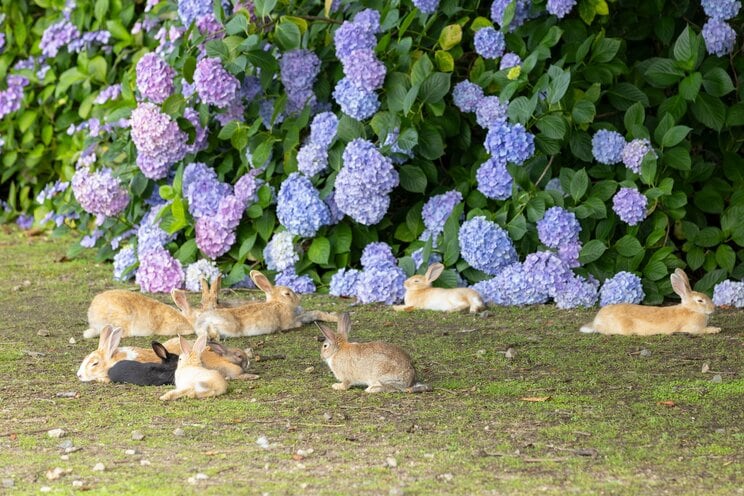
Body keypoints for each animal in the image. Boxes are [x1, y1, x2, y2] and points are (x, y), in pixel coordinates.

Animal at [196, 272, 338, 340]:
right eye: (287, 294)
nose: (299, 299)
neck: (278, 302)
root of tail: (203, 319)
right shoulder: (289, 321)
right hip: (229, 326)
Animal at [580, 268, 720, 338]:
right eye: (700, 300)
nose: (713, 308)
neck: (690, 309)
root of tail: (597, 320)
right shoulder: (694, 329)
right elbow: (703, 330)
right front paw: (716, 329)